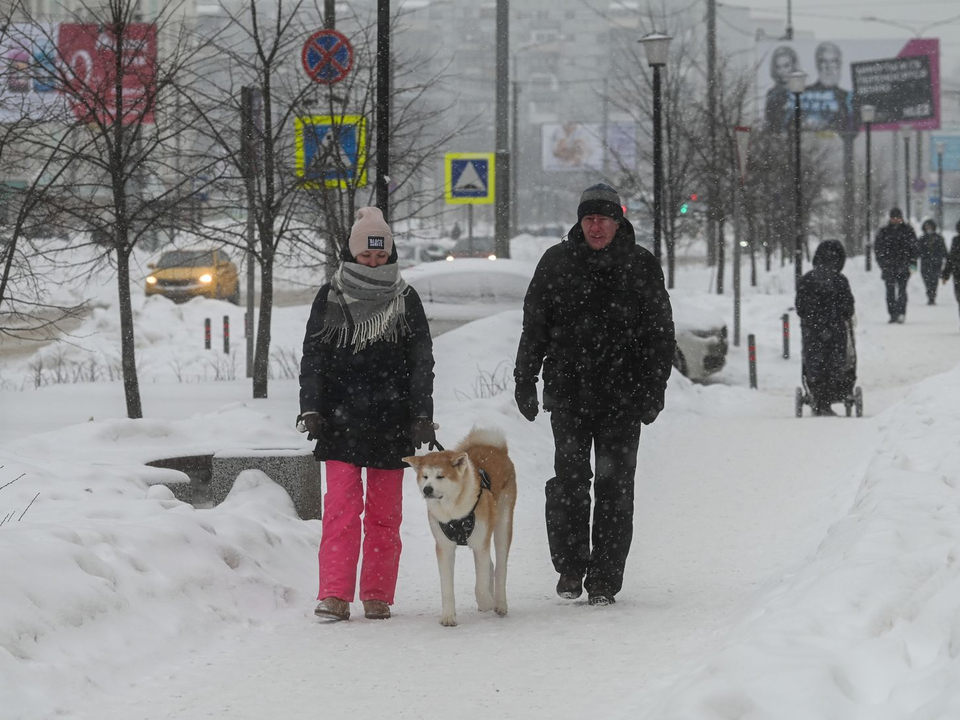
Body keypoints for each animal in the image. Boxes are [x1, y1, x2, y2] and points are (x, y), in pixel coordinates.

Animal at [404, 428, 516, 624]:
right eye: (425, 476)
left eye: (440, 476)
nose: (427, 489)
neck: (453, 512)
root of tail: (496, 448)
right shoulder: (444, 547)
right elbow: (447, 587)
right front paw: (448, 617)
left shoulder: (480, 544)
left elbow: (480, 585)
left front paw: (486, 601)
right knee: (491, 566)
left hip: (503, 524)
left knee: (500, 567)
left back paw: (499, 603)